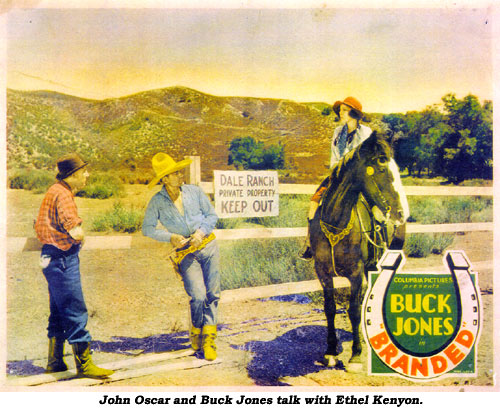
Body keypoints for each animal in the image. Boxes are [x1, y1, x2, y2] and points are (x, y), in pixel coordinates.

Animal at [310, 131, 408, 370]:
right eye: (381, 166)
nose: (401, 213)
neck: (336, 222)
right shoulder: (323, 273)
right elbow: (330, 308)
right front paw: (330, 352)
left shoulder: (355, 274)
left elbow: (353, 310)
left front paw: (355, 355)